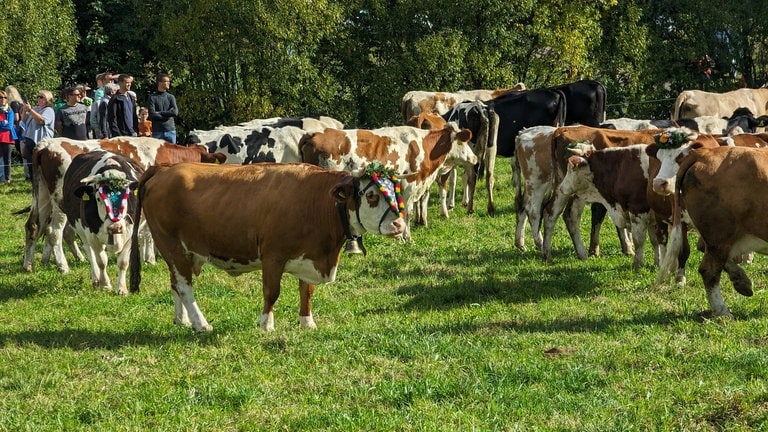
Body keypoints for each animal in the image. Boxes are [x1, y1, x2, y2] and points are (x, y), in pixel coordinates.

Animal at [61, 150, 144, 296]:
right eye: (99, 198)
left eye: (126, 196)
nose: (115, 227)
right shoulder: (92, 235)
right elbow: (101, 261)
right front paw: (105, 285)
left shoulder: (131, 234)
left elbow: (123, 262)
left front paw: (121, 289)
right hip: (82, 233)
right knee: (90, 253)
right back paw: (95, 279)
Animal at [130, 162, 408, 330]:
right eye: (371, 195)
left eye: (397, 192)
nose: (399, 225)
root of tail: (164, 168)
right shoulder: (273, 256)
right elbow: (271, 292)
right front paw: (266, 324)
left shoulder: (309, 254)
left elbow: (306, 291)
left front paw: (307, 322)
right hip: (171, 245)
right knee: (185, 287)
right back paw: (201, 323)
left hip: (179, 252)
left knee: (175, 284)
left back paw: (183, 320)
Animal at [298, 123, 474, 240]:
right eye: (463, 142)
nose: (475, 158)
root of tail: (313, 134)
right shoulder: (409, 185)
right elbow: (407, 213)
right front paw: (406, 237)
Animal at [648, 145, 768, 318]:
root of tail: (703, 154)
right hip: (720, 234)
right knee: (708, 270)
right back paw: (723, 312)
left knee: (706, 251)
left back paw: (741, 281)